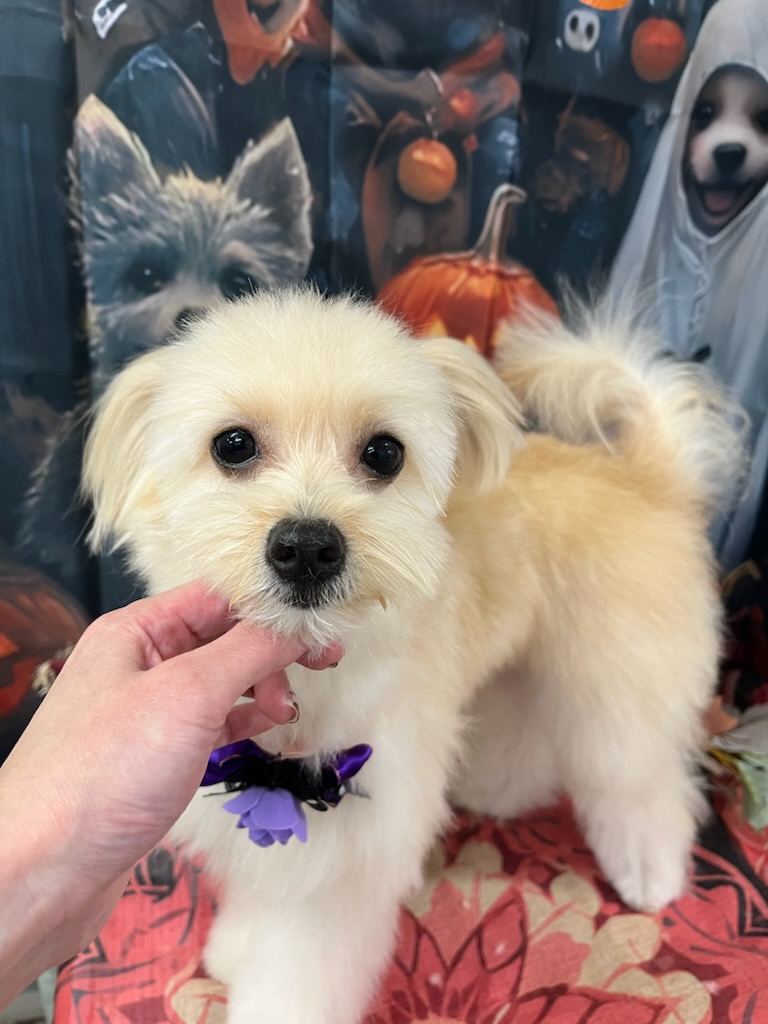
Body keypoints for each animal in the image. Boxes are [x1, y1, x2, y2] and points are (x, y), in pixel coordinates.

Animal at [82, 288, 744, 1024]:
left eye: (383, 453)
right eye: (232, 445)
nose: (307, 547)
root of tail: (647, 478)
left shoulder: (345, 864)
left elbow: (297, 974)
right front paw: (237, 945)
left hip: (617, 678)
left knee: (644, 781)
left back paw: (650, 872)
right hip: (525, 666)